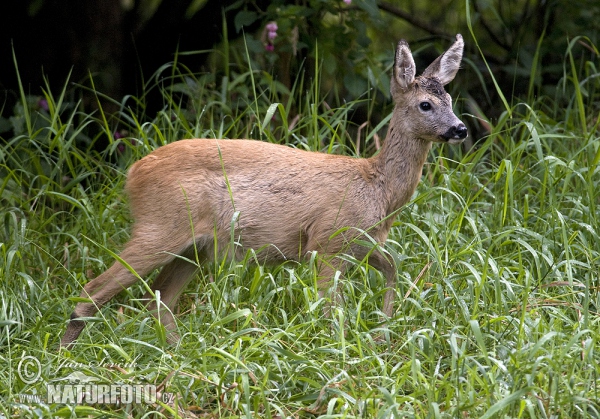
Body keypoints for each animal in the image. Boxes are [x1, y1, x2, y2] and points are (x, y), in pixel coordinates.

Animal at [58, 34, 466, 350]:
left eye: (450, 101)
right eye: (425, 104)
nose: (460, 129)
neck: (377, 187)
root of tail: (132, 174)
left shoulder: (362, 242)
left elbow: (393, 268)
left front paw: (383, 333)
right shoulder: (328, 240)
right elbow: (329, 307)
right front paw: (339, 352)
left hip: (192, 249)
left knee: (157, 300)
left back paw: (178, 353)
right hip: (159, 227)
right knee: (94, 290)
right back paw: (65, 358)